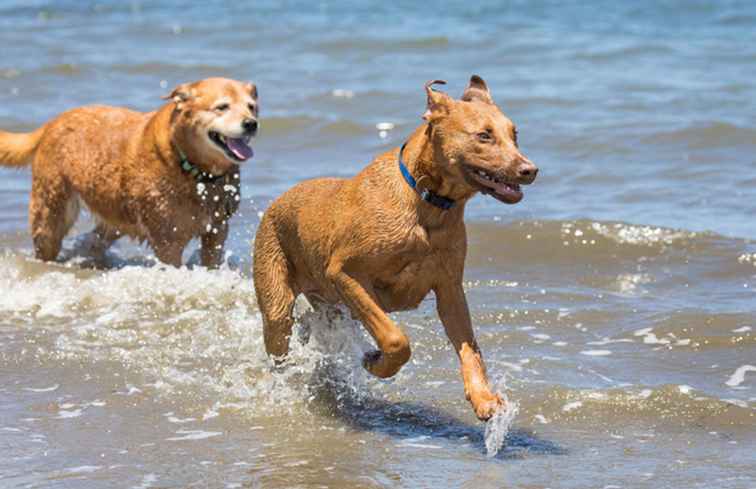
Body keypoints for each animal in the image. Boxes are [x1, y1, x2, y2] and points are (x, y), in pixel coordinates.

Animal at [0, 77, 260, 266]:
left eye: (252, 107)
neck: (195, 170)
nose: (251, 123)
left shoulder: (217, 230)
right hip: (51, 213)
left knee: (94, 241)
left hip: (115, 215)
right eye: (222, 107)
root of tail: (52, 123)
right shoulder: (168, 241)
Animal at [254, 76, 536, 420]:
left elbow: (470, 349)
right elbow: (395, 339)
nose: (530, 170)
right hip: (277, 300)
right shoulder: (345, 274)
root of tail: (277, 202)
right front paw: (376, 364)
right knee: (280, 340)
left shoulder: (450, 290)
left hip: (332, 306)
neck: (429, 204)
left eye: (515, 134)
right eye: (484, 135)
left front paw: (483, 397)